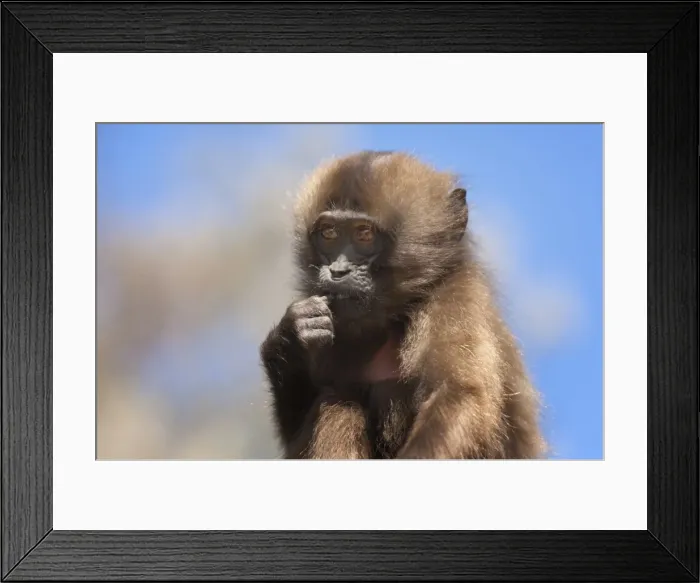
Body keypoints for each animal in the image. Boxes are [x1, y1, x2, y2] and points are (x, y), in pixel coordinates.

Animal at [259, 150, 547, 459]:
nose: (337, 272)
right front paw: (291, 336)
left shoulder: (456, 297)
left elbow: (462, 396)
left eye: (364, 234)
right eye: (329, 234)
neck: (393, 319)